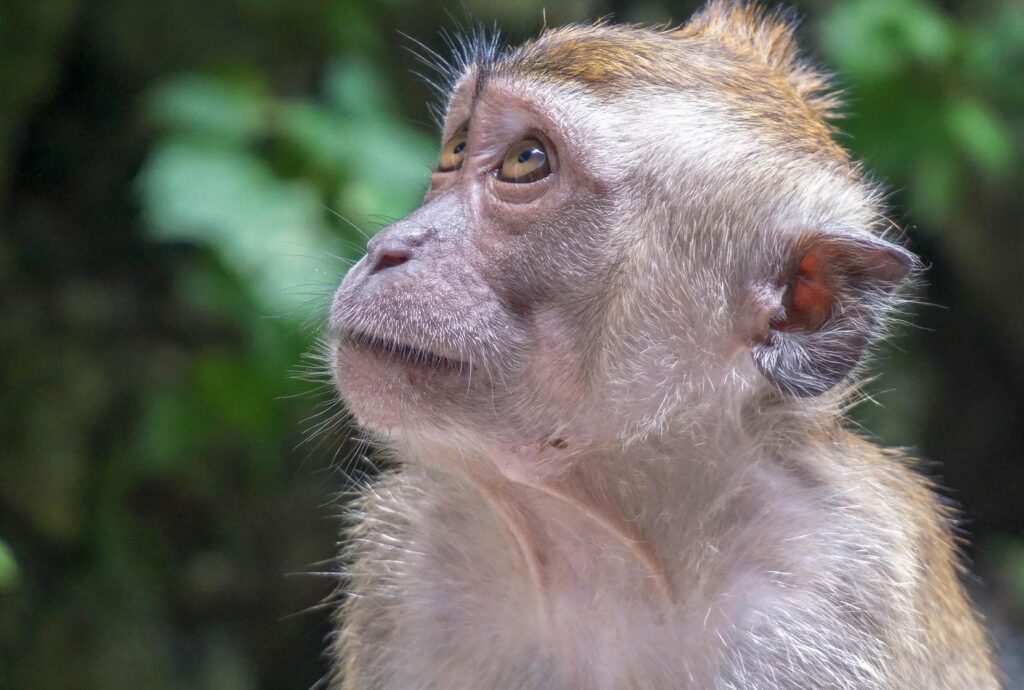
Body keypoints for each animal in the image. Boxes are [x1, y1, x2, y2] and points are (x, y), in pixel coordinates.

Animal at [325, 2, 999, 683]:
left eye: (526, 161)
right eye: (458, 148)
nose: (386, 248)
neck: (611, 537)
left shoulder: (836, 595)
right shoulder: (404, 564)